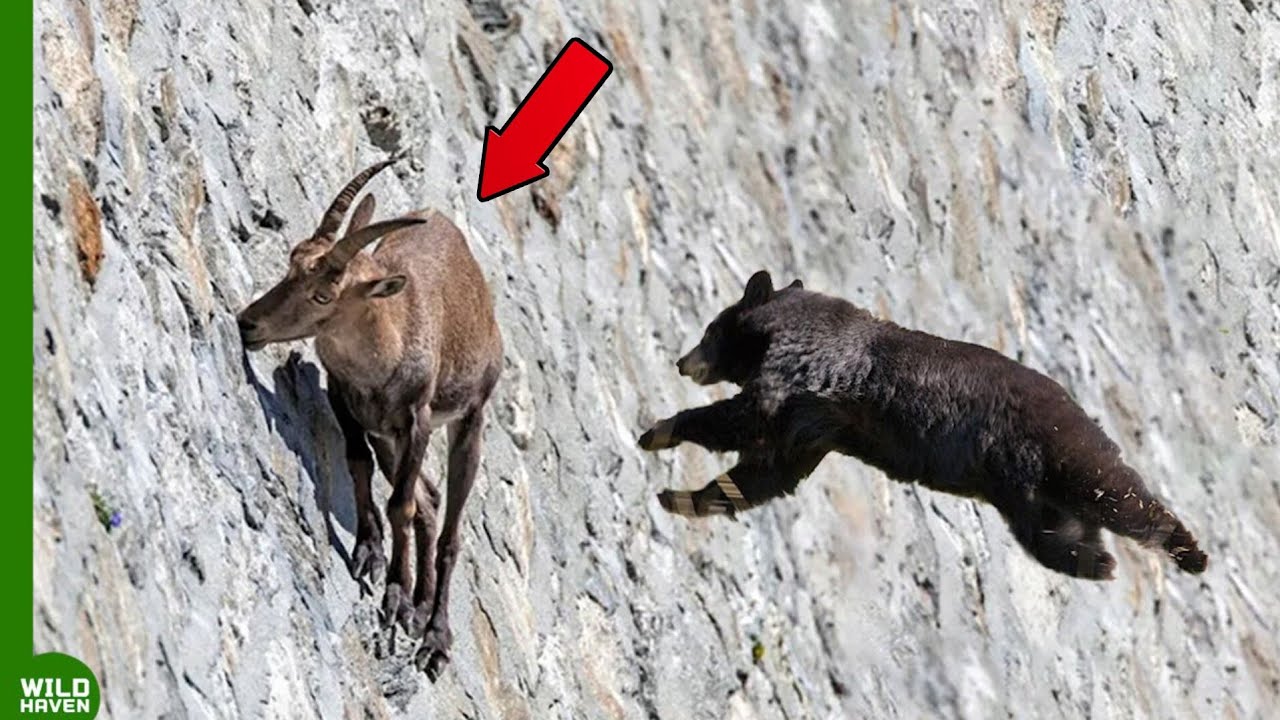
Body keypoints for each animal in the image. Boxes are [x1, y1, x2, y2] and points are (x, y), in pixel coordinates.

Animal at [238, 159, 503, 678]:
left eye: (324, 295)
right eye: (292, 260)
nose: (248, 323)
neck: (384, 348)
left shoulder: (417, 420)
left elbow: (400, 505)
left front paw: (396, 595)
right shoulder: (348, 400)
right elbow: (359, 465)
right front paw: (370, 553)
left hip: (468, 421)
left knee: (448, 529)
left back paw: (434, 633)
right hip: (388, 437)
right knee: (429, 499)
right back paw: (420, 606)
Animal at [638, 270, 1207, 580]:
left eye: (712, 328)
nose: (682, 362)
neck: (783, 328)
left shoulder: (803, 371)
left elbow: (748, 417)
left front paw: (660, 431)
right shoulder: (815, 425)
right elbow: (770, 471)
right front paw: (684, 498)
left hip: (1065, 454)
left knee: (1122, 497)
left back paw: (1189, 550)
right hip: (1035, 498)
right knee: (1059, 534)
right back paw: (1096, 563)